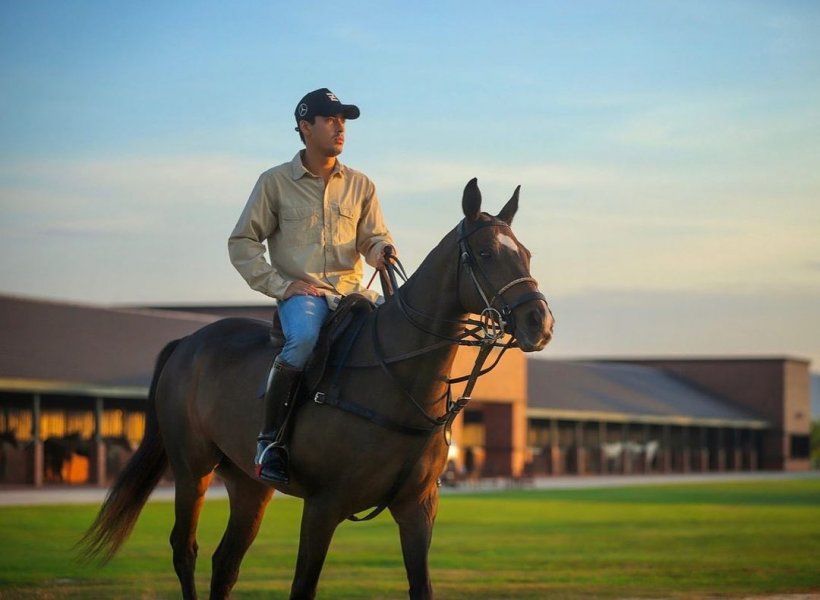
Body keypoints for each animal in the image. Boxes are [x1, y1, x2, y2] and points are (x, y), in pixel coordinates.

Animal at [80, 179, 556, 600]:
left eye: (527, 254)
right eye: (485, 252)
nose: (540, 322)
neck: (398, 380)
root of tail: (186, 342)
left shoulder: (418, 508)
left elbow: (421, 587)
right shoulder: (323, 506)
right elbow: (302, 588)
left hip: (248, 483)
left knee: (225, 563)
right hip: (191, 467)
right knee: (186, 551)